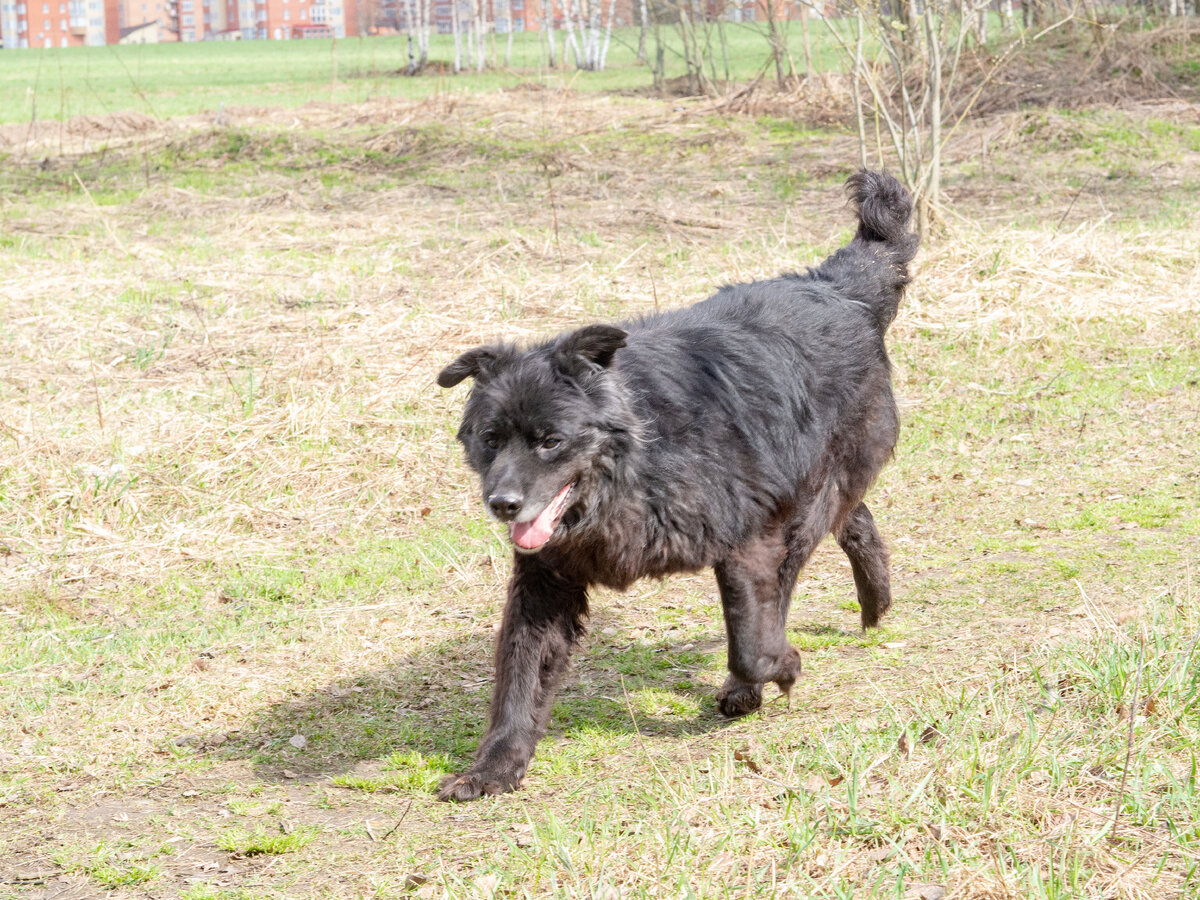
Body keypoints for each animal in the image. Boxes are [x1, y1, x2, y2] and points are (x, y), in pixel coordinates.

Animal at [436, 170, 912, 801]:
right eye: (491, 439)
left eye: (550, 441)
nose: (503, 504)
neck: (639, 463)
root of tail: (837, 288)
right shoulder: (546, 580)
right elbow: (519, 675)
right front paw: (493, 768)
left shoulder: (746, 541)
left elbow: (752, 644)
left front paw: (779, 668)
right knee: (856, 519)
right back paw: (875, 603)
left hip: (804, 506)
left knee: (801, 566)